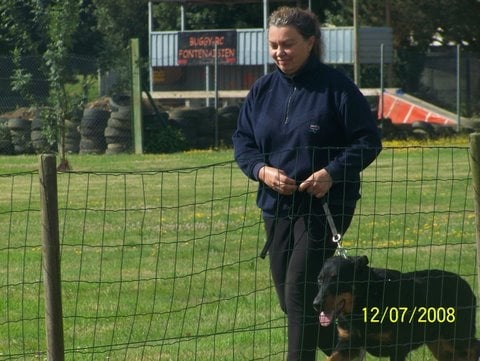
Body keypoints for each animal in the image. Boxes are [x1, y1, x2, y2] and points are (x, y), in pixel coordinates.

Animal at [314, 255, 478, 360]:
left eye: (337, 280)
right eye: (319, 280)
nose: (316, 304)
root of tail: (467, 286)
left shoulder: (398, 348)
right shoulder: (348, 344)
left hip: (456, 335)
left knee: (474, 348)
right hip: (439, 342)